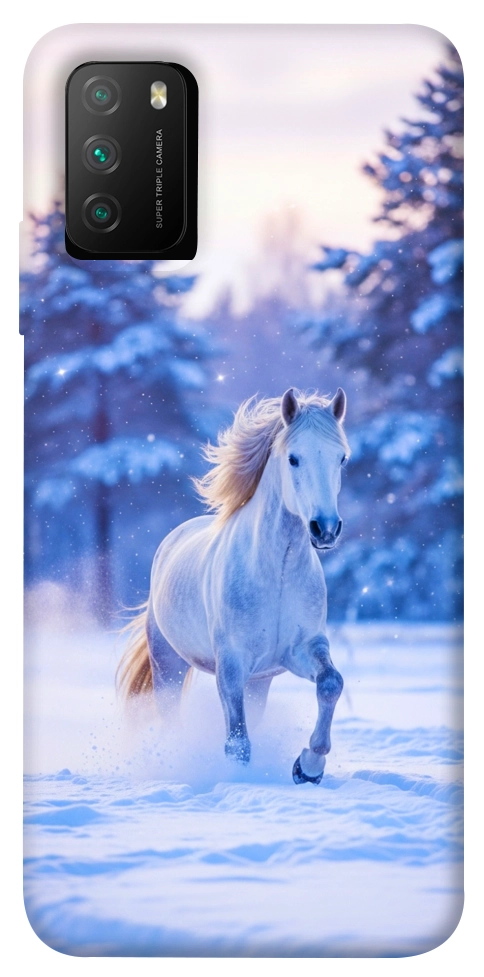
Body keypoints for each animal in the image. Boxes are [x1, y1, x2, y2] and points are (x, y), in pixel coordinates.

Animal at [118, 387, 350, 784]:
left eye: (341, 459)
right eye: (293, 458)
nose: (325, 529)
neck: (277, 573)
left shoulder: (301, 649)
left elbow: (331, 683)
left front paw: (308, 767)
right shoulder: (231, 664)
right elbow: (237, 742)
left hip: (259, 682)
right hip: (168, 665)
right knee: (170, 717)